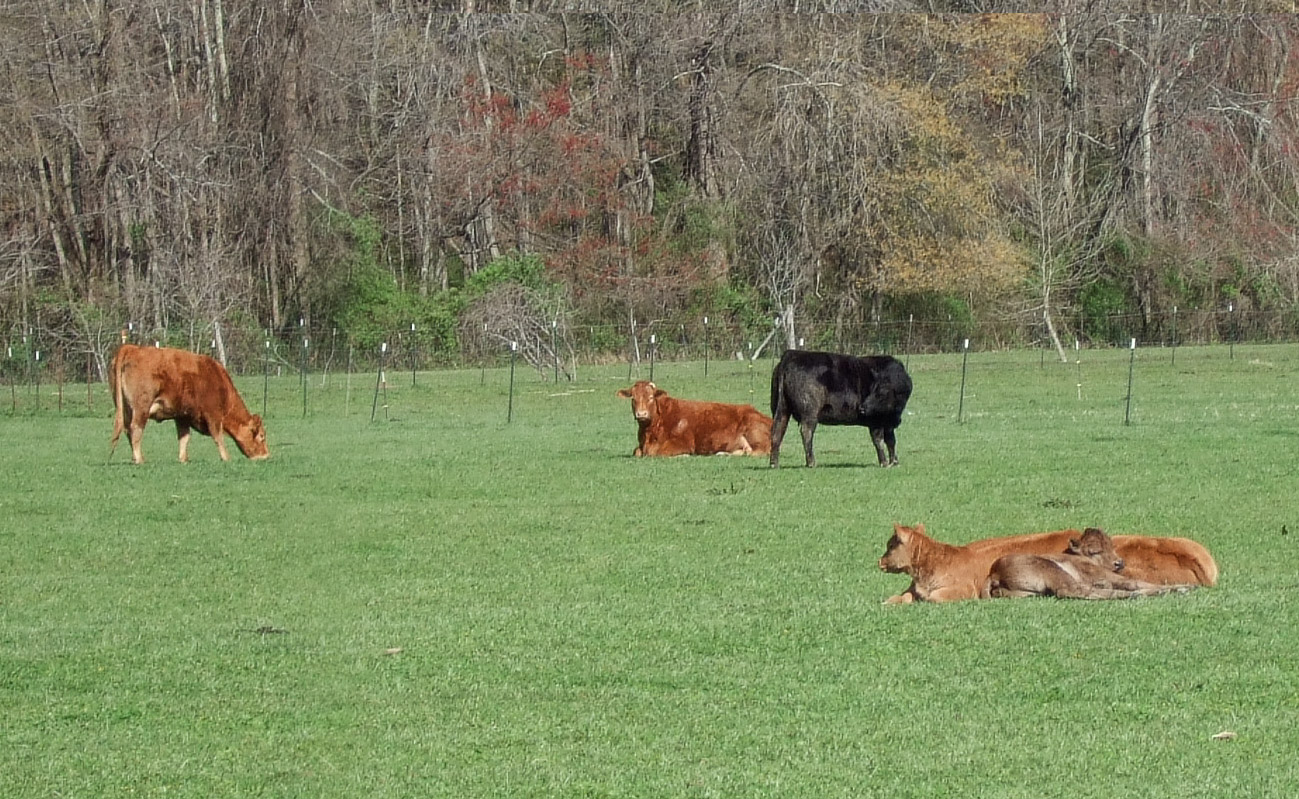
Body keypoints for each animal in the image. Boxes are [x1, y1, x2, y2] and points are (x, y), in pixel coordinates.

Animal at [111, 342, 271, 465]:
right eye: (262, 436)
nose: (266, 456)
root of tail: (131, 348)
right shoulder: (213, 415)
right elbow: (217, 436)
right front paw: (225, 457)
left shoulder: (182, 416)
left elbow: (184, 437)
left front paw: (183, 459)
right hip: (141, 409)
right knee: (135, 429)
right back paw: (139, 459)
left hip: (127, 410)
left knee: (127, 430)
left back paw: (135, 458)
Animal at [610, 381, 769, 457]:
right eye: (633, 399)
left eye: (650, 397)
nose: (641, 414)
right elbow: (636, 452)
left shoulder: (683, 443)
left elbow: (659, 453)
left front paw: (684, 456)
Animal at [769, 350, 914, 467]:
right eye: (874, 389)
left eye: (881, 393)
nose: (862, 408)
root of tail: (792, 354)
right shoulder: (875, 421)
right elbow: (879, 440)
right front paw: (884, 462)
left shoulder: (888, 422)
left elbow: (891, 440)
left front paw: (894, 462)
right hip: (809, 412)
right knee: (806, 431)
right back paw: (811, 462)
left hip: (782, 409)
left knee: (777, 430)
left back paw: (774, 463)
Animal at [976, 527, 1189, 597]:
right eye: (1095, 551)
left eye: (1111, 545)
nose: (1119, 563)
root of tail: (994, 572)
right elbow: (1136, 582)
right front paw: (1182, 587)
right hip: (1053, 571)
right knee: (1074, 591)